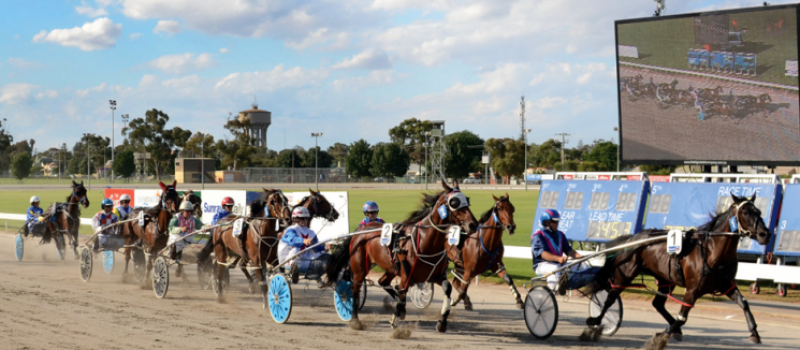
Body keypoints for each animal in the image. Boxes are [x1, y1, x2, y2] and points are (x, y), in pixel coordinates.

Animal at [324, 182, 476, 332]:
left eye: (467, 200)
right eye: (454, 202)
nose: (473, 224)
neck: (425, 241)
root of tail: (360, 231)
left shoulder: (435, 275)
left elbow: (447, 288)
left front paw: (442, 321)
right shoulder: (406, 274)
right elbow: (403, 292)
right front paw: (395, 319)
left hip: (390, 267)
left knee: (383, 281)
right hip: (360, 267)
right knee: (355, 289)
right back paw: (355, 320)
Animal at [588, 193, 768, 348]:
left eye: (758, 212)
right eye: (745, 212)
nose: (765, 234)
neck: (713, 251)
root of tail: (632, 238)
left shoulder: (725, 284)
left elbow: (744, 303)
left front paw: (754, 333)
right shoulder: (693, 290)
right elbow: (682, 317)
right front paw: (660, 338)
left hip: (666, 278)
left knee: (657, 303)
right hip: (624, 274)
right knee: (610, 298)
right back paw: (595, 322)